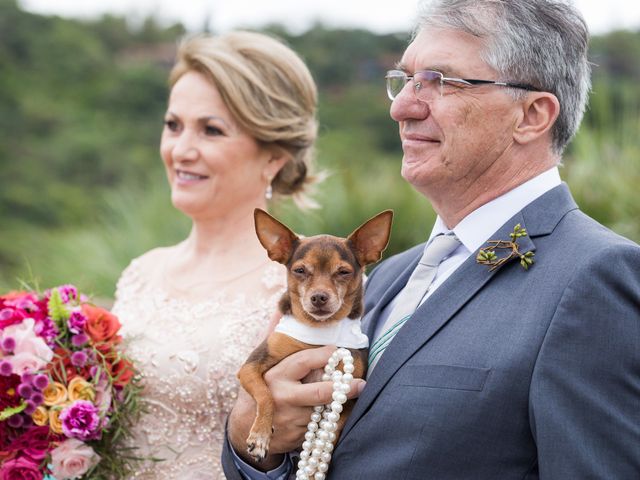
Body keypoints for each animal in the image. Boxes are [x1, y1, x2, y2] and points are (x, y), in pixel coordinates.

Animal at [238, 209, 392, 462]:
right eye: (300, 271)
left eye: (343, 272)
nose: (319, 297)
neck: (319, 332)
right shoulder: (249, 368)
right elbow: (266, 395)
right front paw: (260, 435)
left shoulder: (350, 394)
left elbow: (335, 427)